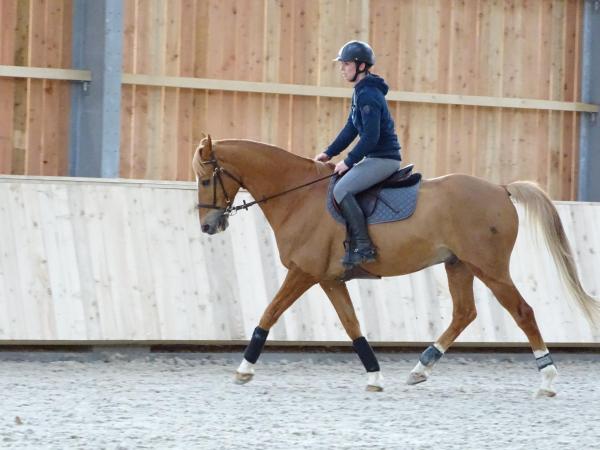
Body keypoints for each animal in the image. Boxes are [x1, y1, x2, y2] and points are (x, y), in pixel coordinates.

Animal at [193, 134, 600, 398]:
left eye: (206, 178)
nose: (208, 227)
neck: (298, 196)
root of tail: (501, 189)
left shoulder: (303, 273)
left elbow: (269, 314)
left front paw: (244, 370)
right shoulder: (329, 279)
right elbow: (352, 325)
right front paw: (374, 375)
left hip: (491, 268)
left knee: (522, 312)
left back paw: (547, 379)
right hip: (459, 265)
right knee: (464, 313)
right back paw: (421, 368)